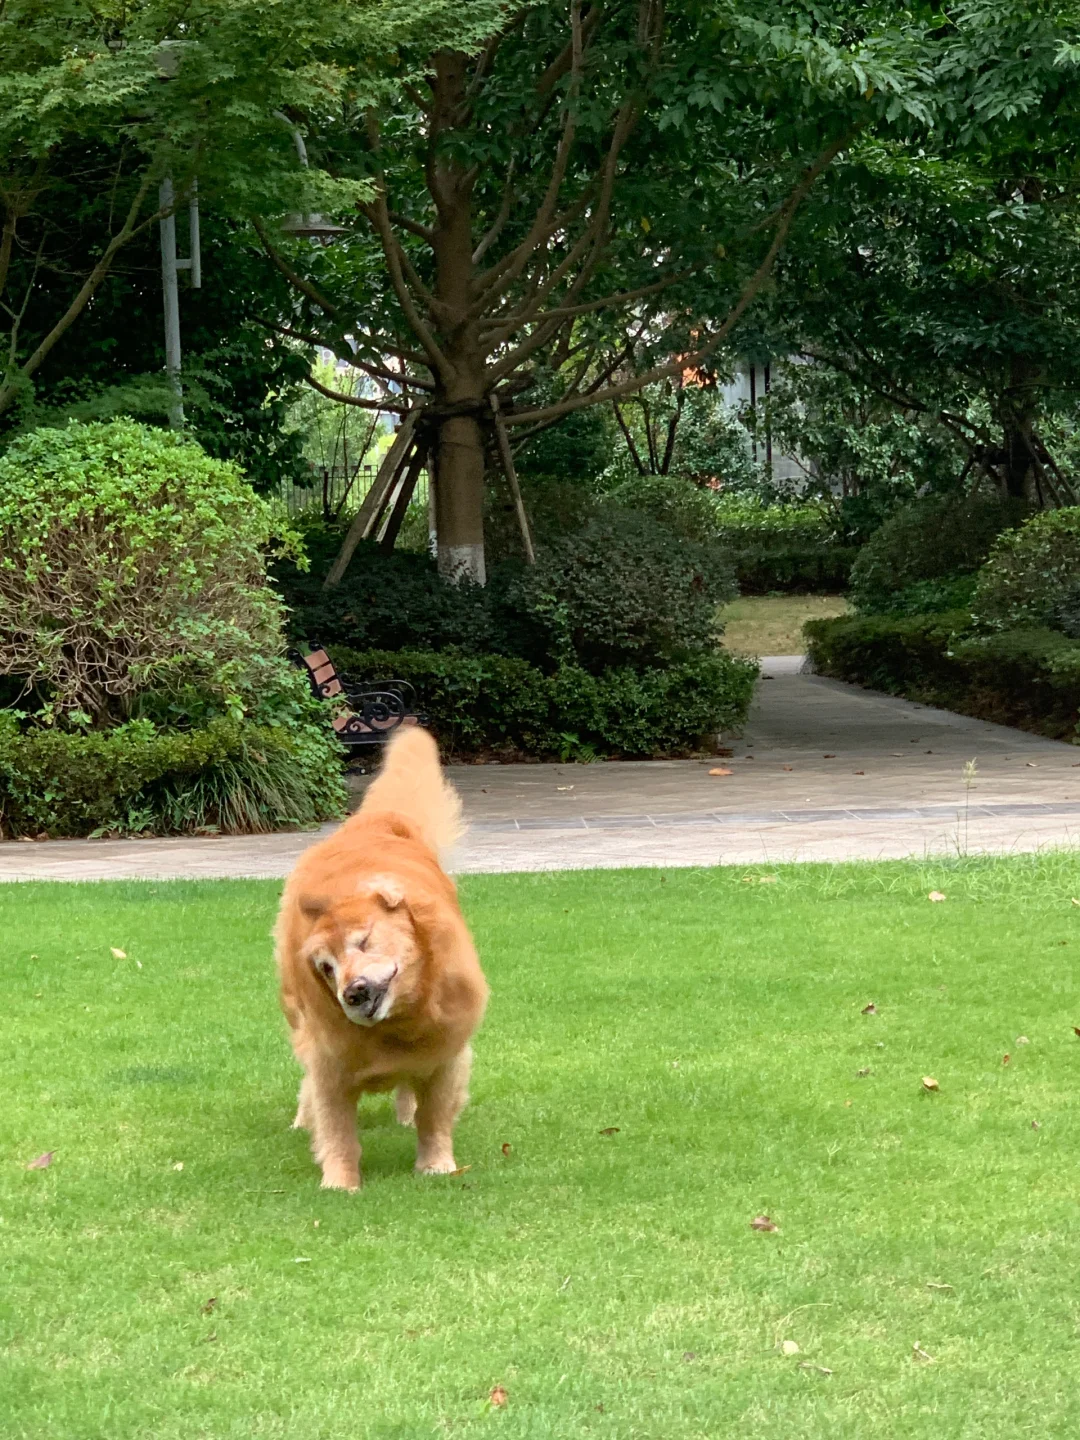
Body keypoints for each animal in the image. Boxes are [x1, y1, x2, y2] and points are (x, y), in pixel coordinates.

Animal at [275, 725, 489, 1186]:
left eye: (363, 941)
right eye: (326, 968)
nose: (351, 993)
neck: (398, 1024)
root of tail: (376, 819)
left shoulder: (446, 1052)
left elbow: (434, 1116)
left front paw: (436, 1165)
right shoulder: (330, 1061)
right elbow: (336, 1127)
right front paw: (339, 1184)